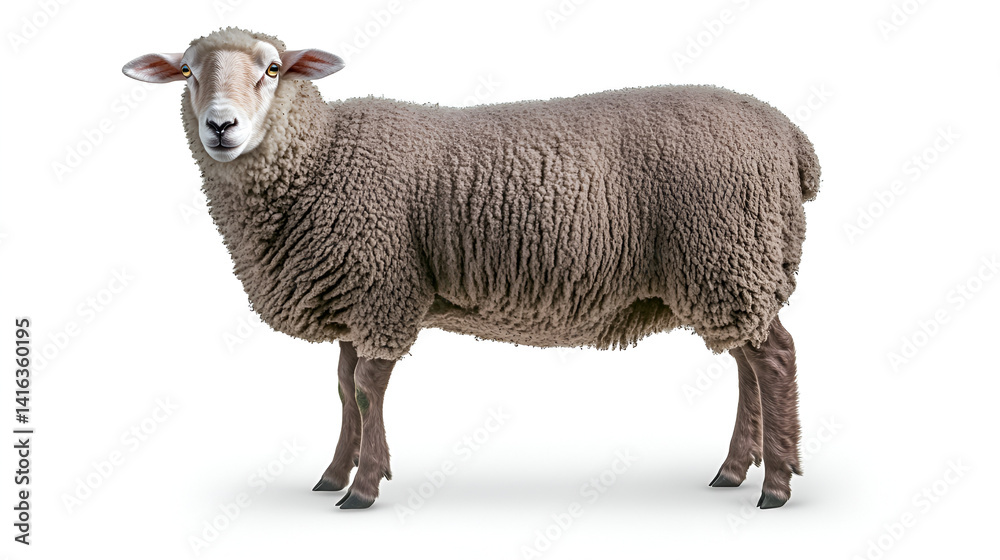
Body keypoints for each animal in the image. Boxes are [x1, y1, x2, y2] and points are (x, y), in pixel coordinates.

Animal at [123, 27, 820, 510]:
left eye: (272, 68)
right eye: (186, 71)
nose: (221, 126)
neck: (321, 157)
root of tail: (790, 136)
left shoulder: (384, 286)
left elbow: (369, 388)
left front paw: (364, 486)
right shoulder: (354, 294)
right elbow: (345, 388)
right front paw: (333, 473)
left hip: (728, 253)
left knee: (776, 357)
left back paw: (776, 485)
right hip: (733, 269)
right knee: (748, 363)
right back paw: (736, 469)